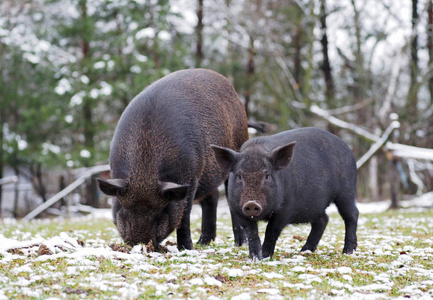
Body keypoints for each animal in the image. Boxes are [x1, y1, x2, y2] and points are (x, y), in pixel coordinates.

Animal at [96, 69, 248, 250]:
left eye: (160, 213)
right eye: (125, 210)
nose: (140, 244)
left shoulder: (192, 176)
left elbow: (184, 216)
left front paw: (186, 248)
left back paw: (240, 244)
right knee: (212, 199)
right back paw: (203, 243)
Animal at [212, 127, 358, 258]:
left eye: (267, 176)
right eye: (239, 176)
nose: (252, 203)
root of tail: (348, 150)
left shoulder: (286, 209)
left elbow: (271, 230)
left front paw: (265, 256)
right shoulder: (238, 209)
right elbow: (252, 232)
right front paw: (255, 257)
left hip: (346, 191)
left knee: (352, 215)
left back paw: (347, 251)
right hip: (315, 206)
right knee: (323, 219)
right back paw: (304, 251)